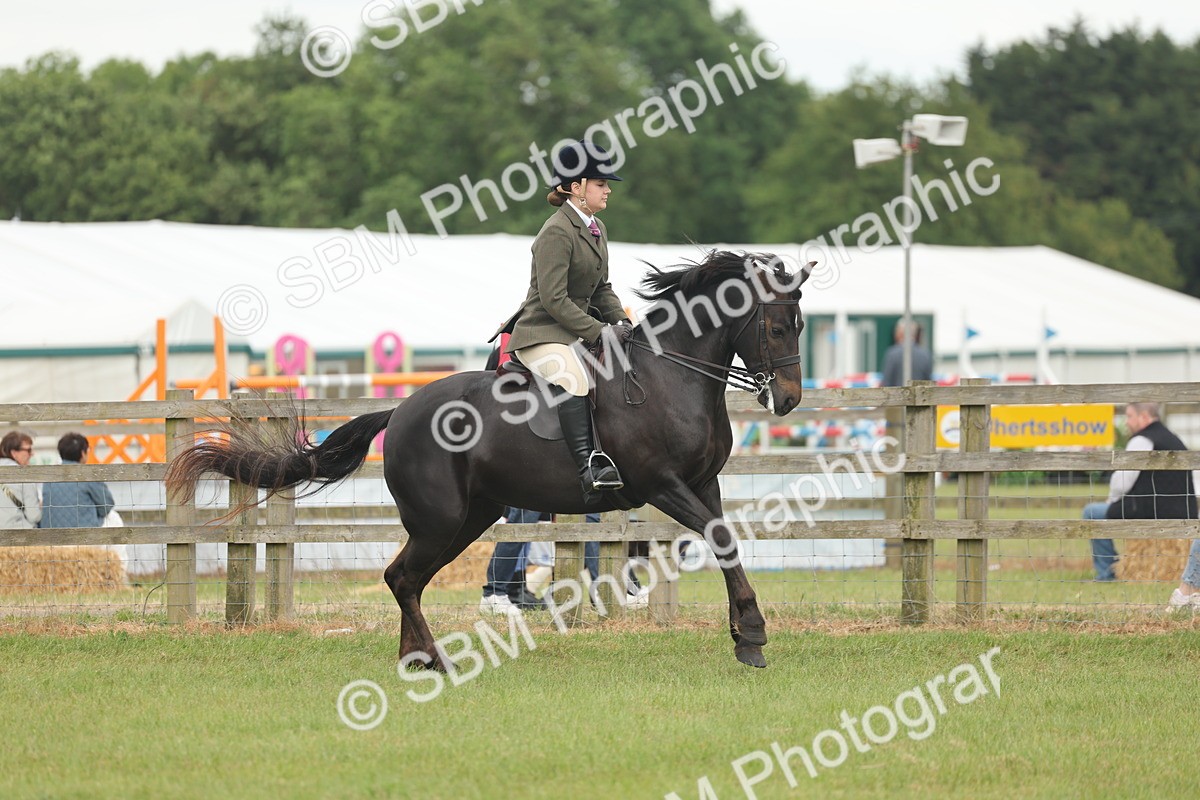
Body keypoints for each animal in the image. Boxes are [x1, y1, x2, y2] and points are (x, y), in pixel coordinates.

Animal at [165, 250, 812, 668]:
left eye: (800, 323)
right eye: (777, 327)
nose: (787, 400)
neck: (670, 375)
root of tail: (400, 411)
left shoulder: (704, 484)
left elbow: (725, 539)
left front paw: (742, 634)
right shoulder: (662, 485)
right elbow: (721, 539)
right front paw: (753, 635)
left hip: (468, 517)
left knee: (406, 578)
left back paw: (417, 659)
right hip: (441, 519)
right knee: (403, 577)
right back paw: (432, 659)